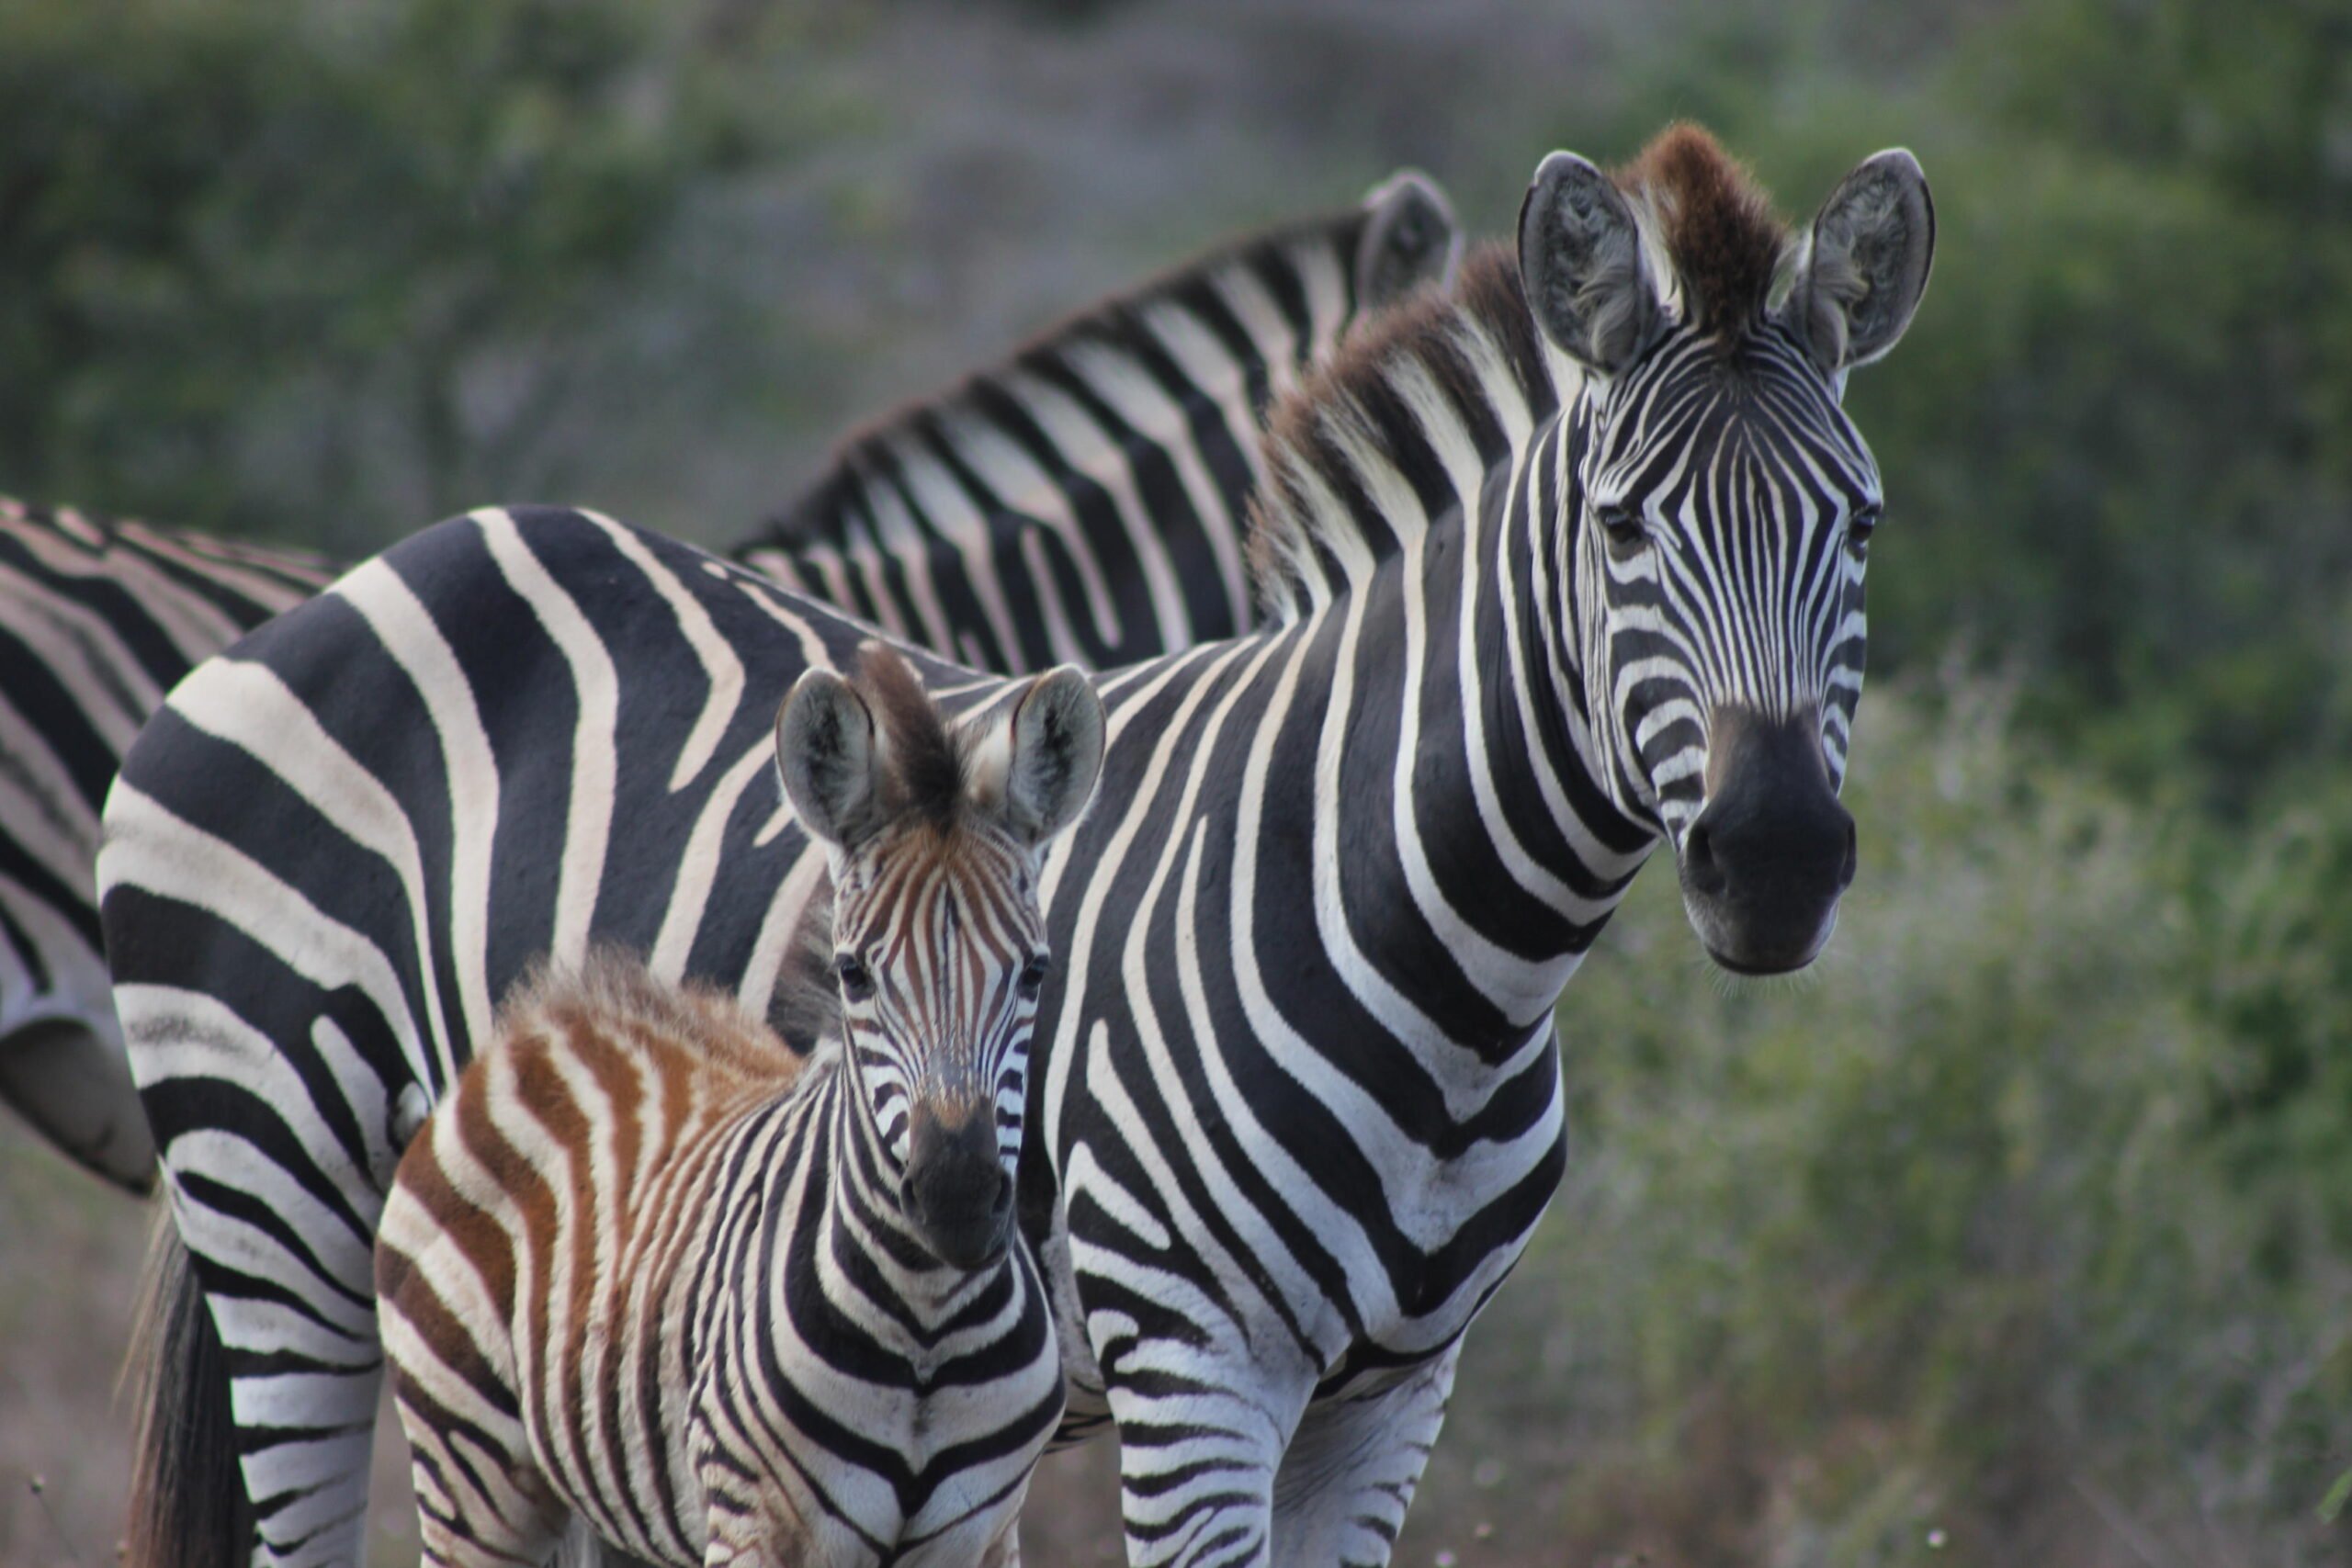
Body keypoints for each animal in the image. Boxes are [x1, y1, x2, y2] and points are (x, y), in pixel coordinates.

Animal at [368, 639, 1101, 1568]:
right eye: (854, 973)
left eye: (1036, 970)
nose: (958, 1200)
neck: (926, 1330)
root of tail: (540, 1017)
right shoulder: (754, 1520)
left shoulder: (985, 1534)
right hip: (472, 1470)